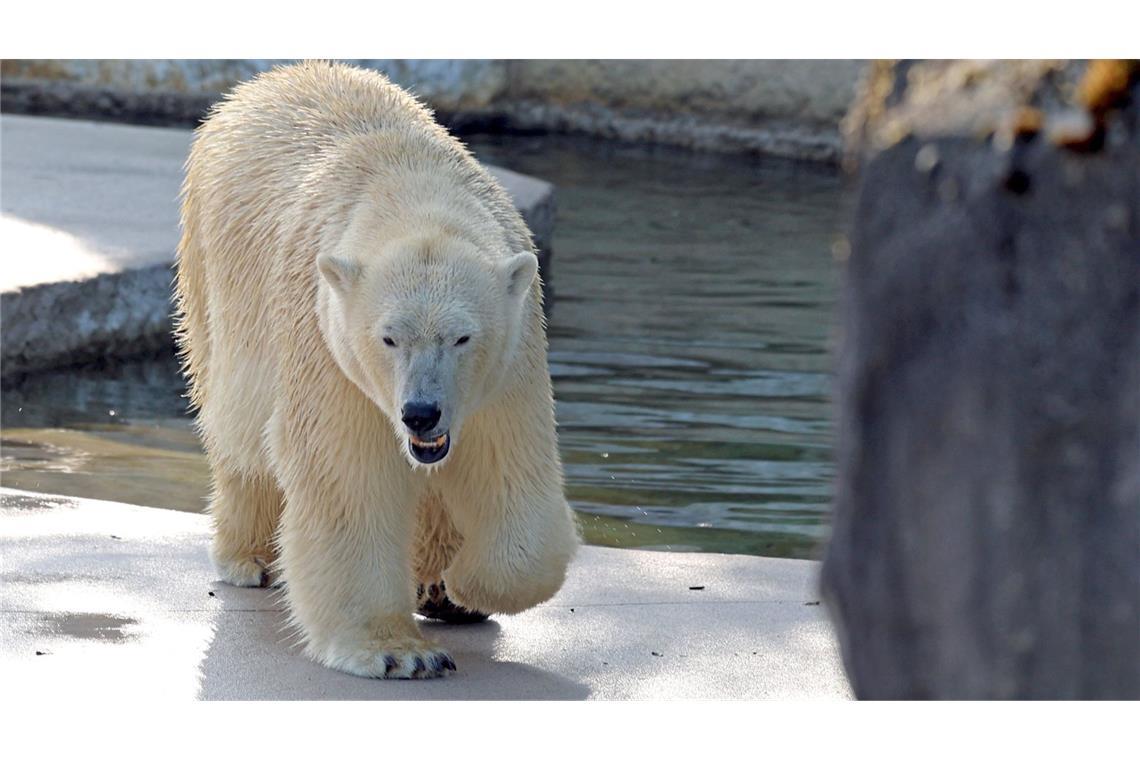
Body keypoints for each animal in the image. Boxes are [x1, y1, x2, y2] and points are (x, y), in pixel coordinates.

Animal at [175, 59, 579, 679]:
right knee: (239, 430)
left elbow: (509, 465)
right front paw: (397, 651)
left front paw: (463, 585)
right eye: (388, 338)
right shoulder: (327, 340)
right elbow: (346, 473)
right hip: (212, 268)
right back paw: (251, 557)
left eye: (462, 337)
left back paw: (437, 585)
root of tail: (269, 79)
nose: (420, 413)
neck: (411, 183)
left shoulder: (513, 356)